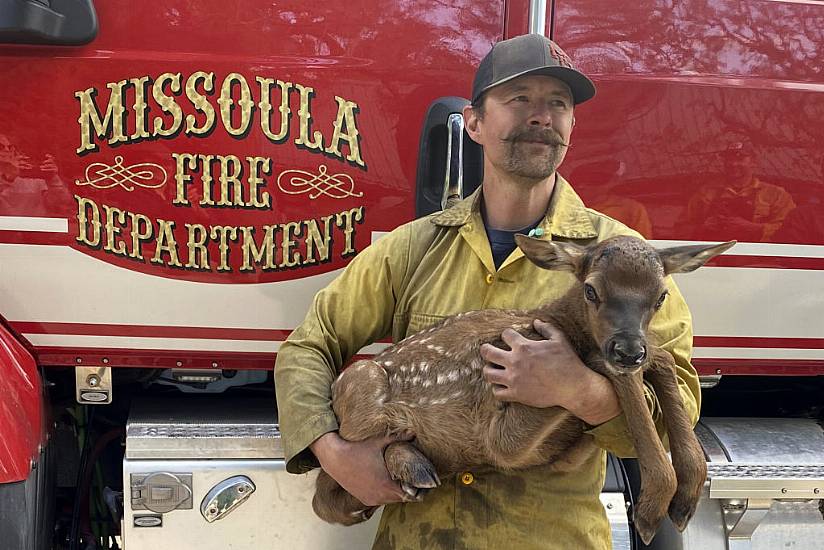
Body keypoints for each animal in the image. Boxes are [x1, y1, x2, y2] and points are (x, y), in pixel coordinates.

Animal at [310, 235, 732, 544]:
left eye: (661, 296)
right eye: (591, 290)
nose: (628, 349)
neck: (553, 322)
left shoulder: (564, 450)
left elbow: (662, 360)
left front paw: (684, 498)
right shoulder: (500, 434)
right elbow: (608, 367)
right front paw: (653, 508)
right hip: (362, 386)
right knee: (326, 487)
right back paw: (411, 467)